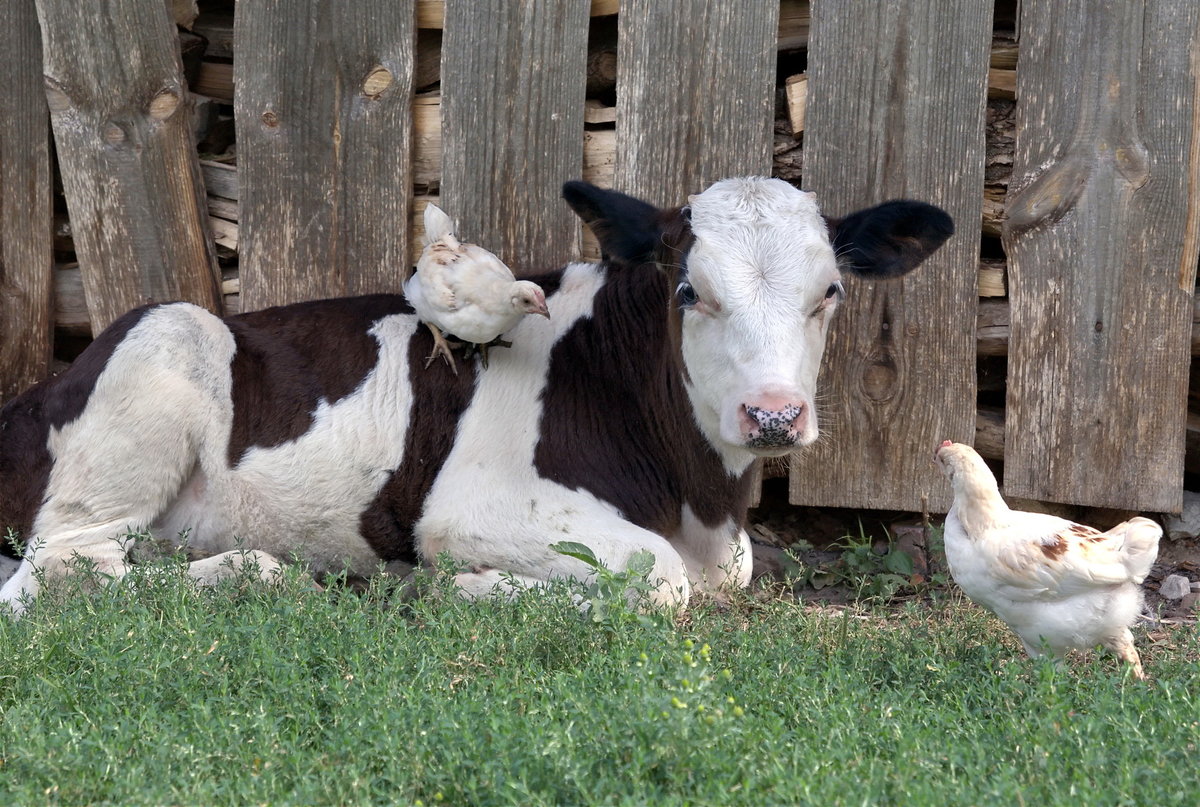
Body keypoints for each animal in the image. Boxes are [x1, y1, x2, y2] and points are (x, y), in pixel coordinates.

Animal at [0, 178, 952, 613]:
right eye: (689, 290)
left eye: (830, 291)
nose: (774, 414)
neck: (701, 498)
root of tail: (34, 394)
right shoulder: (477, 508)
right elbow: (660, 581)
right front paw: (454, 588)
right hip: (166, 342)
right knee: (63, 568)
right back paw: (267, 572)